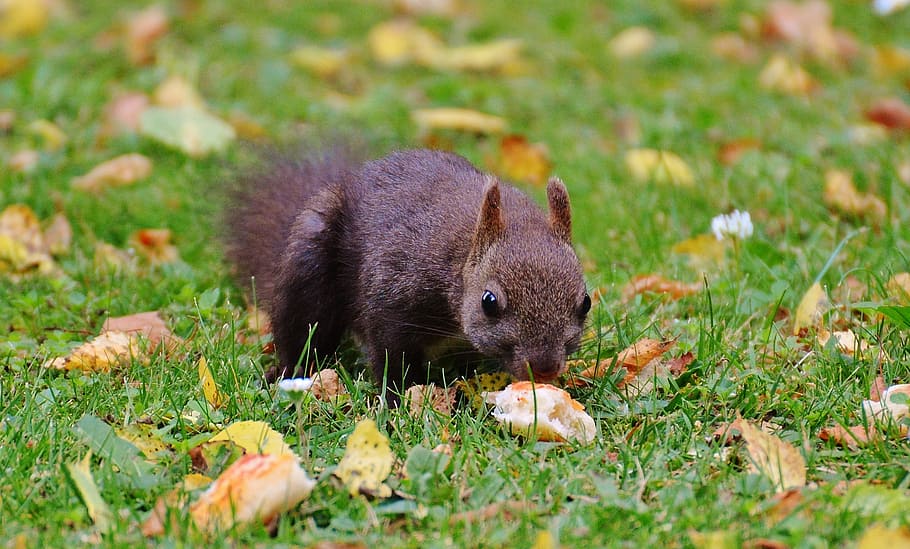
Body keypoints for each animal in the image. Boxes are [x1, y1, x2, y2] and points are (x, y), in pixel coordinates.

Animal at [225, 146, 591, 402]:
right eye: (488, 302)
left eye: (586, 303)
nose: (544, 368)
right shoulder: (393, 291)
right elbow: (390, 355)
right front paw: (395, 400)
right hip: (307, 264)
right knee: (302, 333)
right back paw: (287, 371)